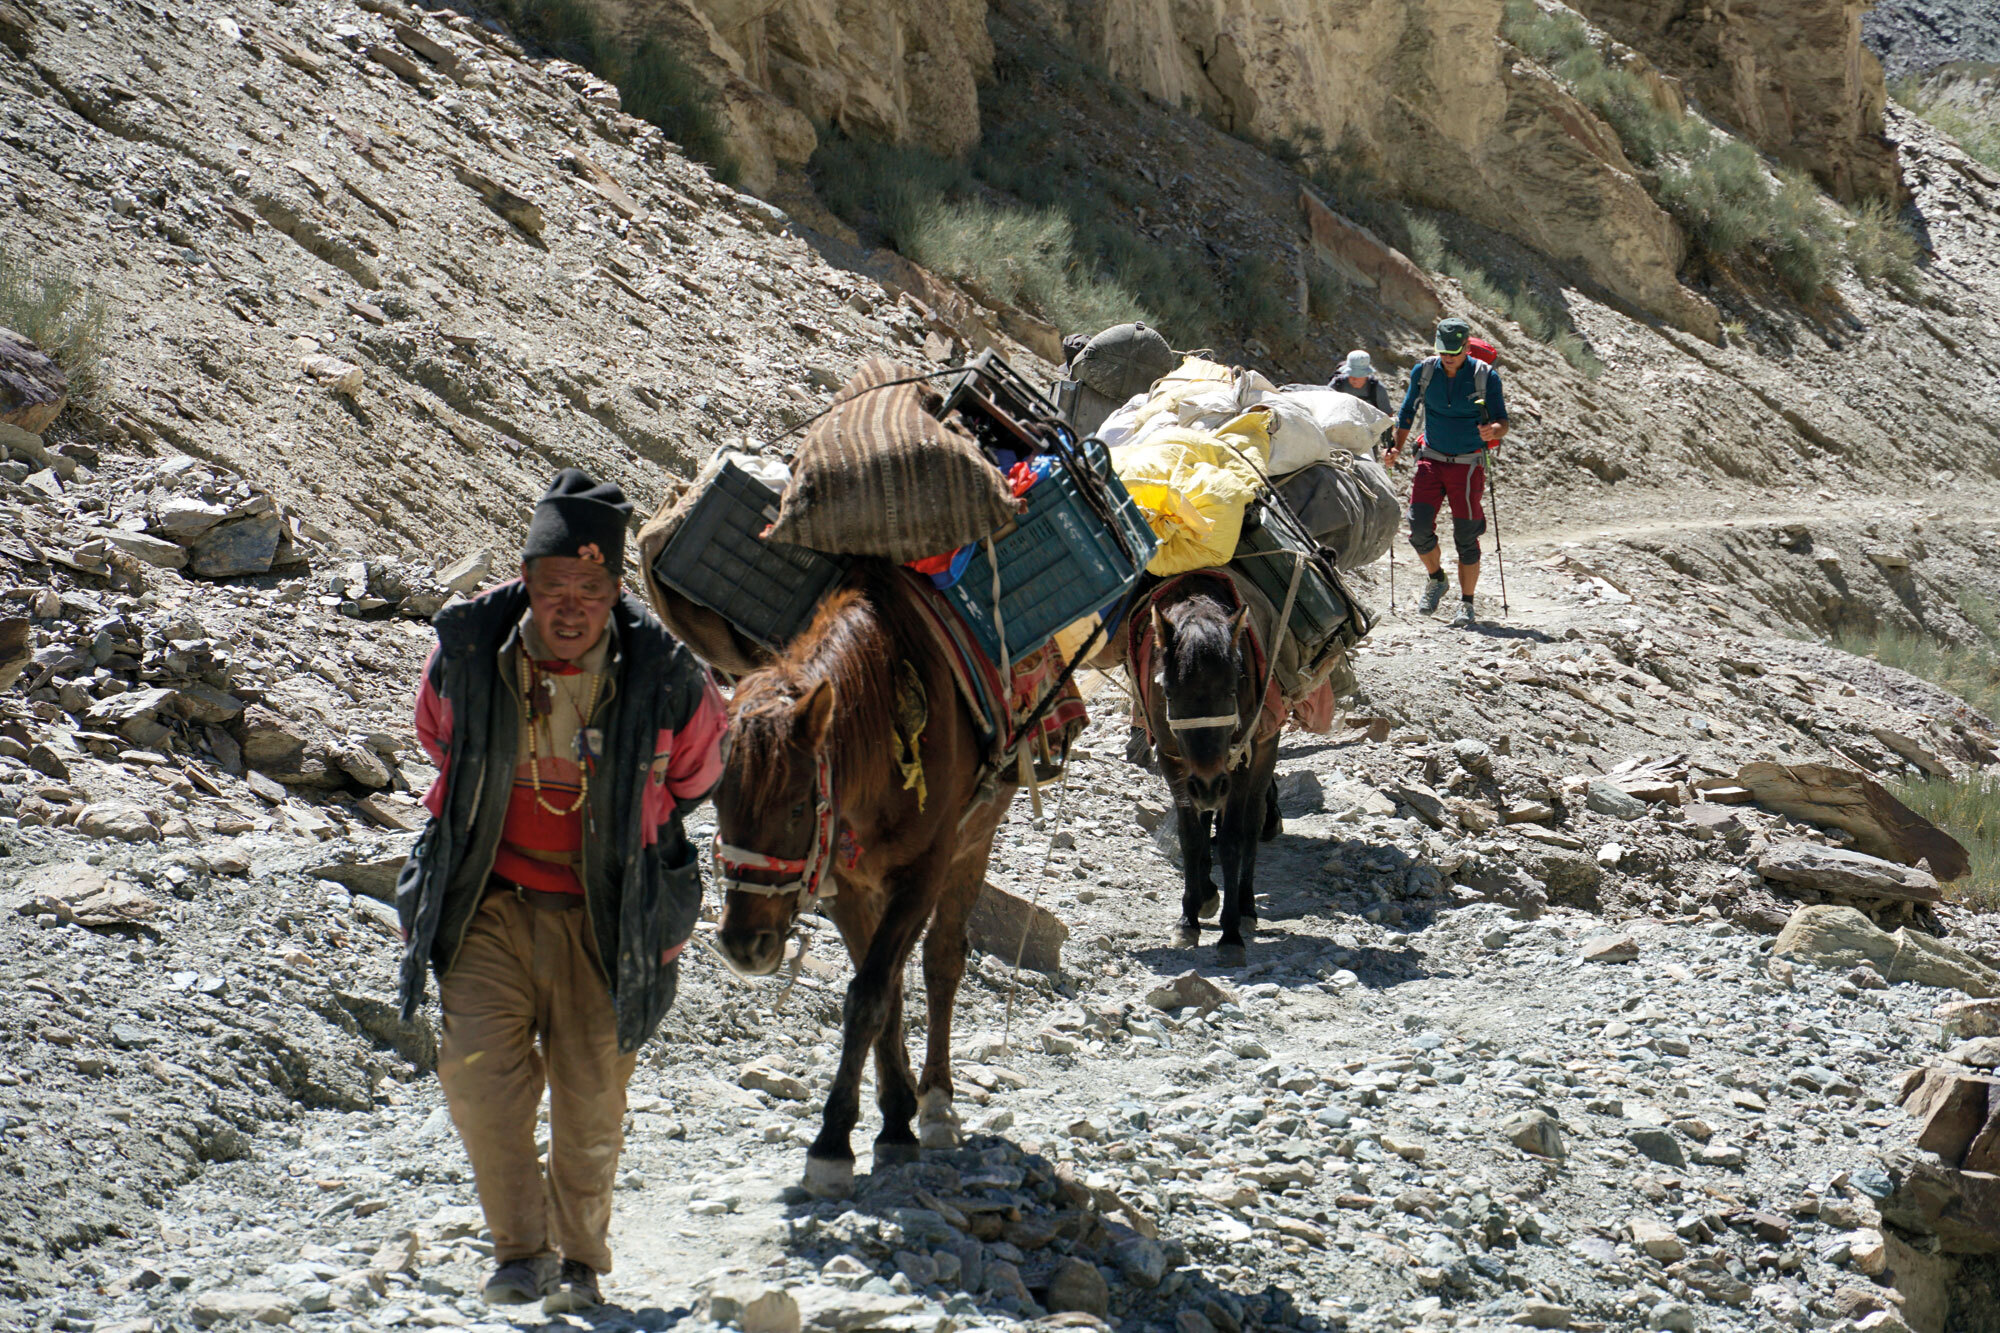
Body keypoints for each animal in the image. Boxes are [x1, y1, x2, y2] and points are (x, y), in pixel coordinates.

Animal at [708, 556, 1016, 1200]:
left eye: (796, 808)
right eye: (716, 799)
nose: (745, 946)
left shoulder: (921, 874)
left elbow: (870, 994)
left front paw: (833, 1144)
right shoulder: (848, 885)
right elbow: (883, 994)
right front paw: (892, 1120)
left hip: (976, 837)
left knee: (943, 960)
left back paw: (939, 1103)